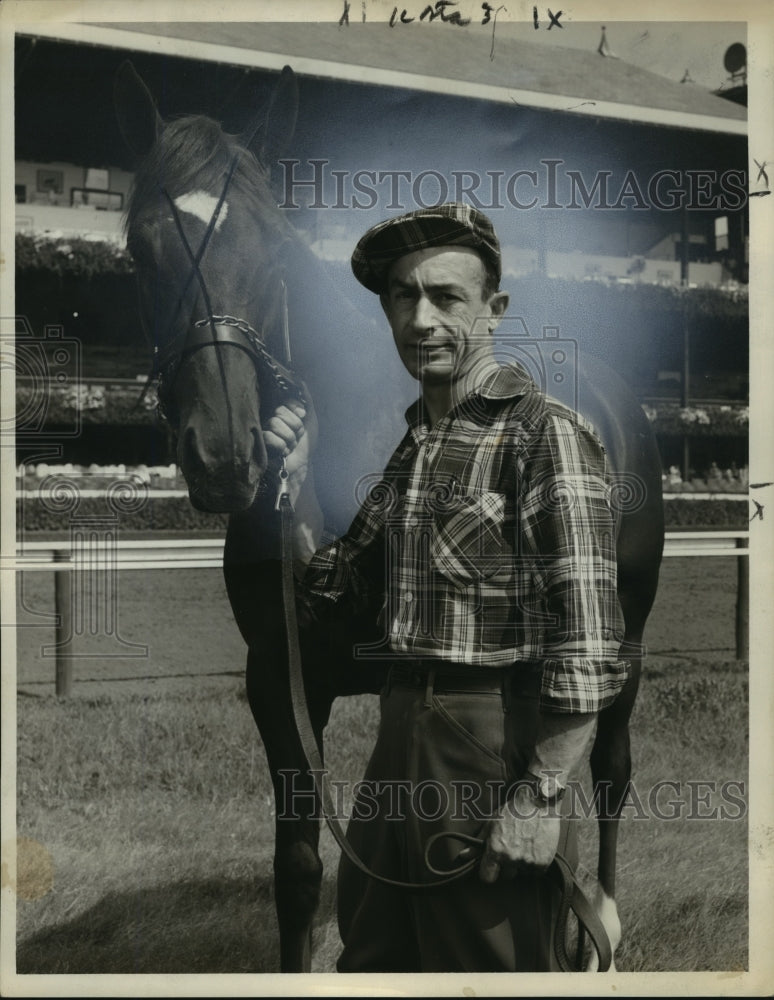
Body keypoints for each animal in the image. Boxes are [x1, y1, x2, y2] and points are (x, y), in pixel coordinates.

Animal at [115, 58, 668, 972]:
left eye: (271, 249)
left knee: (608, 768)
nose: (224, 453)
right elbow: (300, 869)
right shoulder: (281, 678)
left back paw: (602, 926)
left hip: (621, 635)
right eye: (140, 249)